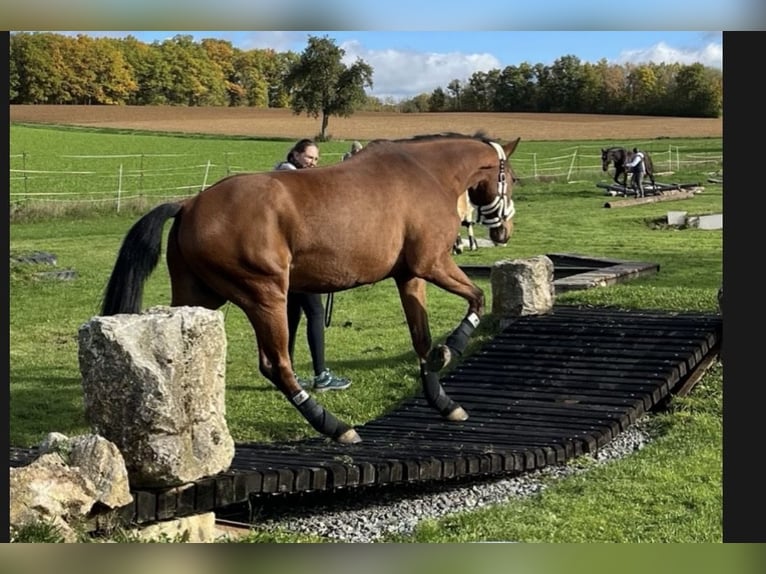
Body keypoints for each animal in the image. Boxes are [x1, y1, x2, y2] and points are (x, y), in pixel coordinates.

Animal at [101, 132, 521, 445]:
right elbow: (477, 299)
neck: (427, 173)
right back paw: (333, 425)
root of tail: (189, 204)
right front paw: (450, 351)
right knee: (276, 365)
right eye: (512, 180)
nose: (505, 231)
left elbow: (421, 337)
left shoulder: (409, 276)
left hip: (199, 298)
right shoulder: (432, 265)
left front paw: (443, 399)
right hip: (265, 295)